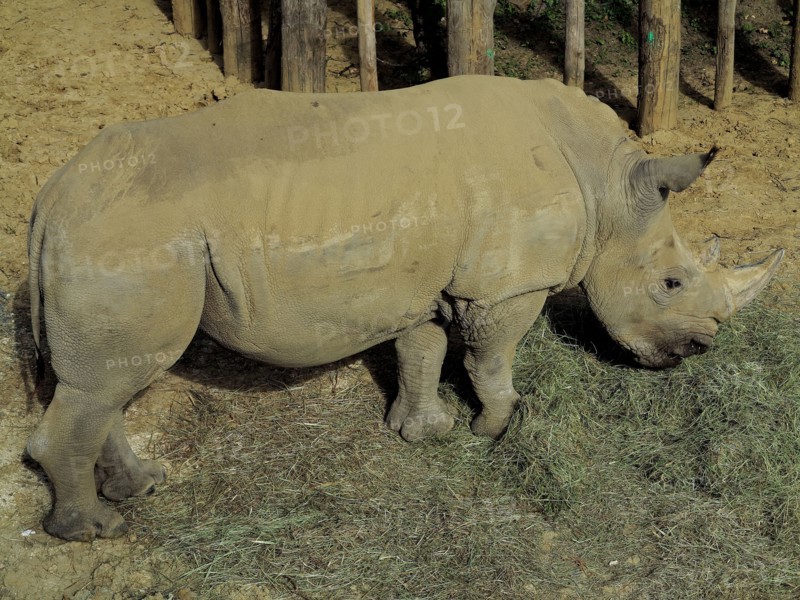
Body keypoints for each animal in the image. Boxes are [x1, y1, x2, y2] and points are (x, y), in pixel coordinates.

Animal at [26, 75, 783, 541]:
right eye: (672, 284)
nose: (697, 351)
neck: (610, 187)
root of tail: (51, 196)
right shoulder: (505, 286)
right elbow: (490, 356)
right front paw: (498, 427)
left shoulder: (431, 280)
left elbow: (423, 349)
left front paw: (424, 433)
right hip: (131, 239)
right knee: (111, 380)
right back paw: (94, 530)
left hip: (121, 233)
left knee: (106, 382)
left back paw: (140, 488)